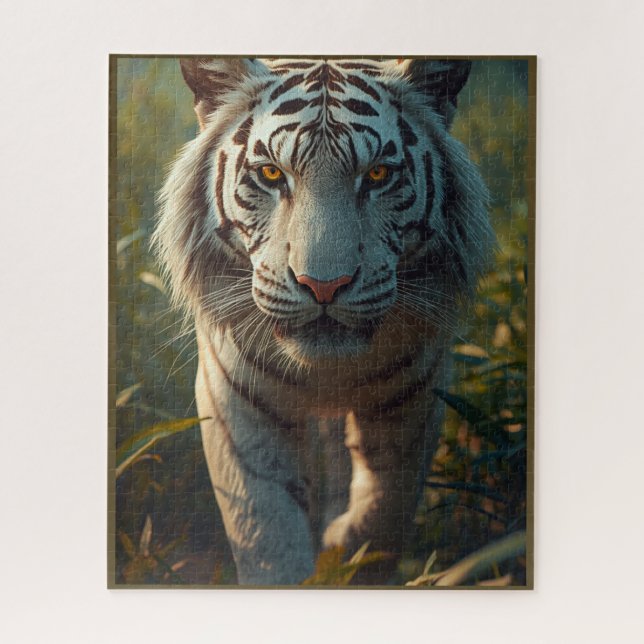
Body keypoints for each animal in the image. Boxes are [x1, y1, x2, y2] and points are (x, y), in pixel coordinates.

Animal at [153, 57, 493, 585]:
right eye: (272, 173)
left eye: (377, 174)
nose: (324, 286)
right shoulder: (235, 400)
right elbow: (266, 531)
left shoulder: (416, 391)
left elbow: (385, 504)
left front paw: (347, 554)